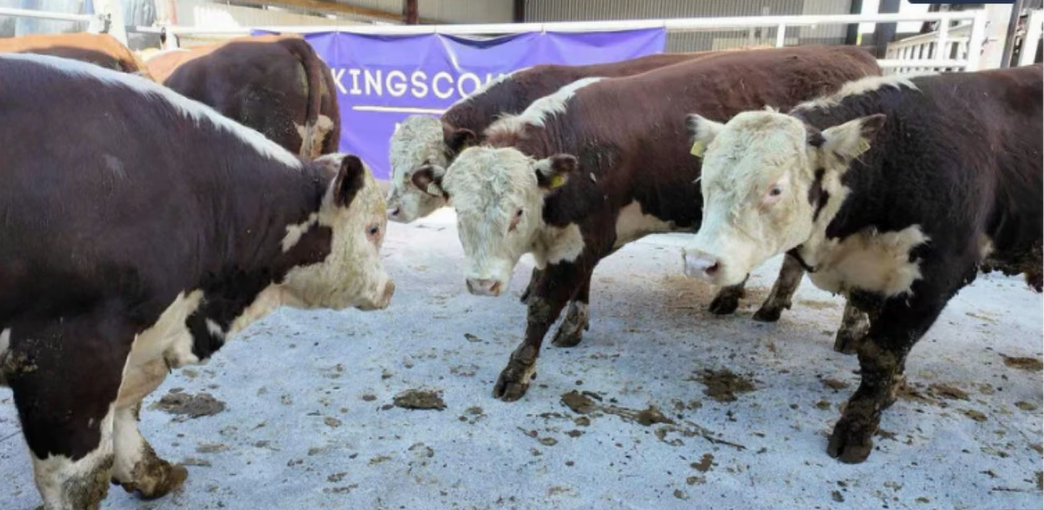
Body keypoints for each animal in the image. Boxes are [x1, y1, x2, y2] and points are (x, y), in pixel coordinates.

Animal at [0, 53, 394, 510]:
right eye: (372, 229)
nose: (389, 288)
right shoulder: (69, 355)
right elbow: (77, 478)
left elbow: (127, 414)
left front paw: (152, 473)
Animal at [415, 45, 882, 402]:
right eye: (458, 209)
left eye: (518, 211)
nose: (482, 283)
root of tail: (853, 52)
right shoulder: (579, 237)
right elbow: (578, 290)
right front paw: (574, 325)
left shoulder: (582, 238)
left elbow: (542, 308)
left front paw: (517, 371)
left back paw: (849, 328)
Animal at [682, 65, 1042, 463]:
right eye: (704, 179)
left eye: (775, 189)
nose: (699, 262)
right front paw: (893, 389)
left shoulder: (937, 277)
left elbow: (879, 354)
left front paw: (855, 429)